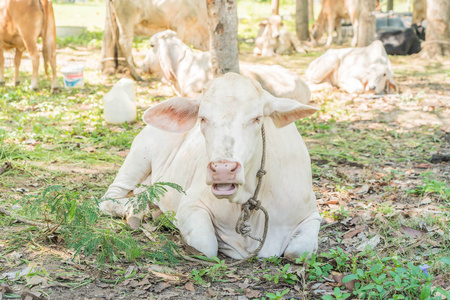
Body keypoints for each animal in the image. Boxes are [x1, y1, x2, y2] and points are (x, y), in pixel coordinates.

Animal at [100, 73, 322, 260]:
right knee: (109, 198)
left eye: (256, 118)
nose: (223, 169)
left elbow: (297, 252)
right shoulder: (191, 203)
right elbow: (206, 246)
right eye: (203, 118)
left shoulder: (311, 215)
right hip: (138, 155)